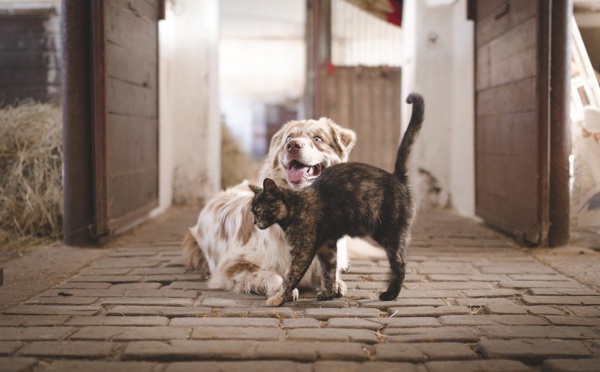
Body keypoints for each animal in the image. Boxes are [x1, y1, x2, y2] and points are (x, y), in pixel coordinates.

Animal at [180, 117, 354, 298]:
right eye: (289, 138)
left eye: (318, 138)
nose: (292, 146)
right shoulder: (230, 265)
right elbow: (270, 274)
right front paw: (282, 289)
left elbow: (327, 269)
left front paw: (334, 283)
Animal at [251, 93, 424, 306]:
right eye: (252, 211)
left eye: (259, 210)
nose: (254, 222)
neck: (295, 206)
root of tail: (396, 176)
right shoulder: (327, 246)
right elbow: (329, 271)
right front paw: (329, 293)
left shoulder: (303, 250)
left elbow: (290, 276)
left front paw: (278, 298)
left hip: (390, 233)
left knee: (400, 264)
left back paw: (389, 294)